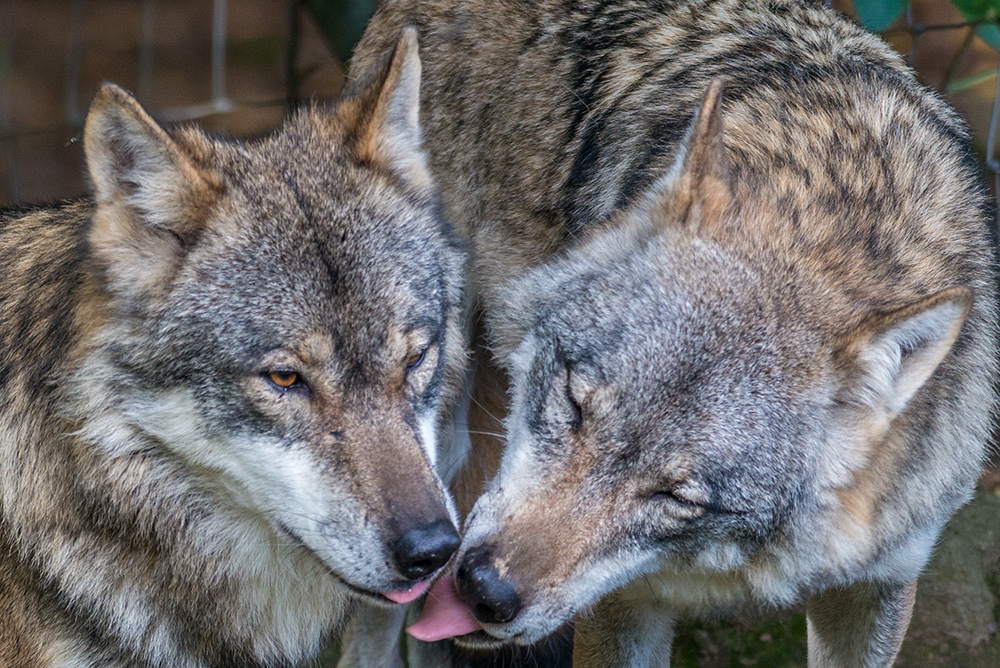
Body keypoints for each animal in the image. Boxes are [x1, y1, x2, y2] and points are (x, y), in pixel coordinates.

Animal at [352, 2, 1000, 664]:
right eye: (574, 404)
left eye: (676, 497)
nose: (485, 589)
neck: (834, 227)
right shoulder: (625, 607)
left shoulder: (879, 587)